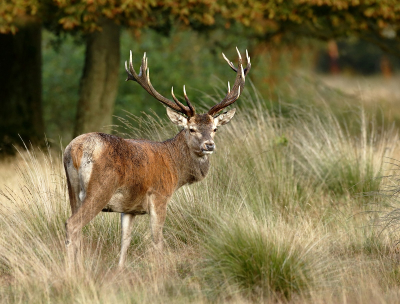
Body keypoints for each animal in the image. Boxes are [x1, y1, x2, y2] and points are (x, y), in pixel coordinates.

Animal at [62, 47, 250, 266]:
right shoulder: (159, 196)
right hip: (100, 189)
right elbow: (157, 241)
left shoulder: (130, 208)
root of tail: (75, 149)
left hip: (72, 190)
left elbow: (125, 241)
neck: (175, 168)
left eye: (215, 129)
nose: (209, 145)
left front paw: (120, 269)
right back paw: (72, 269)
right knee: (72, 225)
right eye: (191, 129)